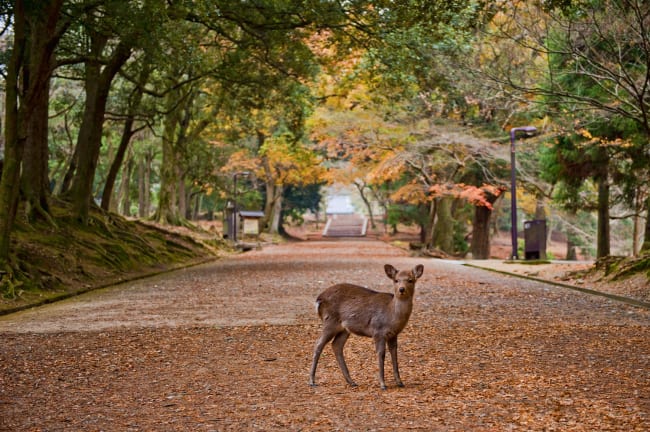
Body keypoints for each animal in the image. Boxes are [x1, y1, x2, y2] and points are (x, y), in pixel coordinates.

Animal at [310, 264, 426, 392]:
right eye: (396, 280)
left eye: (410, 280)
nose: (401, 289)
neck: (391, 315)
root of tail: (318, 299)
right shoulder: (378, 331)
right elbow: (381, 354)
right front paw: (382, 384)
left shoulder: (393, 334)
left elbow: (394, 354)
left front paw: (400, 382)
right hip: (329, 321)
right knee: (318, 344)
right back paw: (312, 380)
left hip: (344, 329)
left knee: (336, 345)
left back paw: (351, 381)